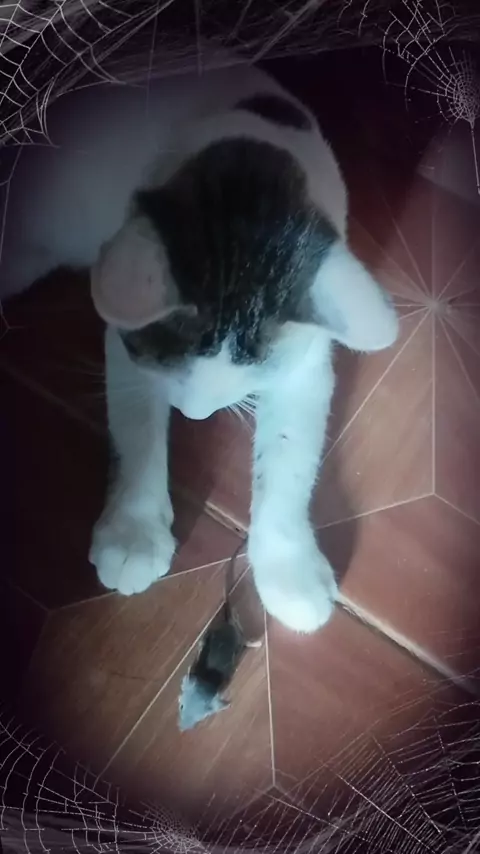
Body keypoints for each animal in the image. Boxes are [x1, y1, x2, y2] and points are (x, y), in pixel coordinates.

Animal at [1, 58, 398, 633]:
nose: (193, 415)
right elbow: (137, 430)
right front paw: (134, 530)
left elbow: (289, 458)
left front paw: (288, 567)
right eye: (170, 365)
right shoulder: (130, 341)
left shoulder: (304, 364)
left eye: (253, 374)